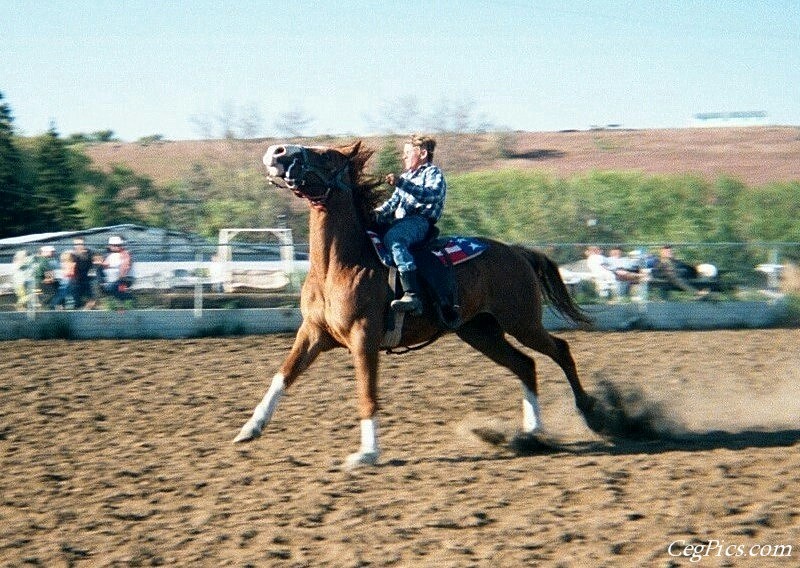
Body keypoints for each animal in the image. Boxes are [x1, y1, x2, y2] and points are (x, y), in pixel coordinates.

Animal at [234, 141, 604, 466]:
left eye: (325, 155)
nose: (277, 151)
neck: (340, 265)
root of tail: (516, 252)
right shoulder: (313, 333)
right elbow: (283, 375)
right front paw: (249, 429)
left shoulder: (363, 339)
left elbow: (367, 394)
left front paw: (367, 454)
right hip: (481, 332)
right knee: (525, 365)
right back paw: (530, 433)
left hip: (522, 322)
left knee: (559, 350)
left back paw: (590, 413)